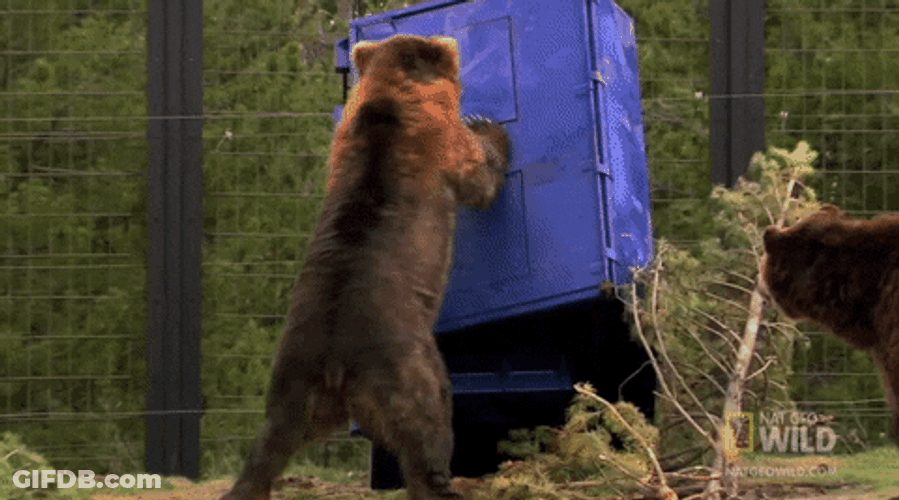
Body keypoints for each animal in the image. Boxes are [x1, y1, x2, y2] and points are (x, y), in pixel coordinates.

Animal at [220, 34, 511, 500]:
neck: (389, 104)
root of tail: (336, 363)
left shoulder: (345, 142)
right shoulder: (442, 146)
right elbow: (478, 178)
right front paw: (489, 129)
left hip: (293, 378)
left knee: (270, 442)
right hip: (404, 365)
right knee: (429, 422)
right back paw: (446, 484)